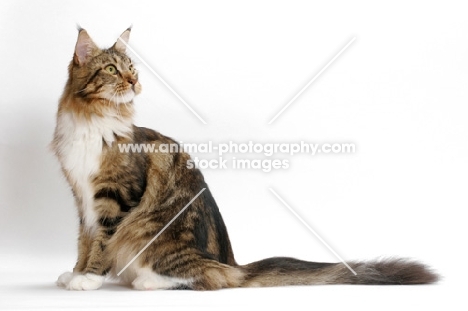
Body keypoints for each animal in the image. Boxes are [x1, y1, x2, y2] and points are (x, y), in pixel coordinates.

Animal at [52, 28, 438, 292]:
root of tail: (232, 262)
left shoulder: (116, 198)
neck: (92, 121)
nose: (134, 81)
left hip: (155, 234)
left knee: (208, 277)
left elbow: (102, 242)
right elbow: (85, 241)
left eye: (133, 69)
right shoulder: (82, 197)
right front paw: (76, 271)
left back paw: (147, 281)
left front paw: (88, 279)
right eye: (112, 70)